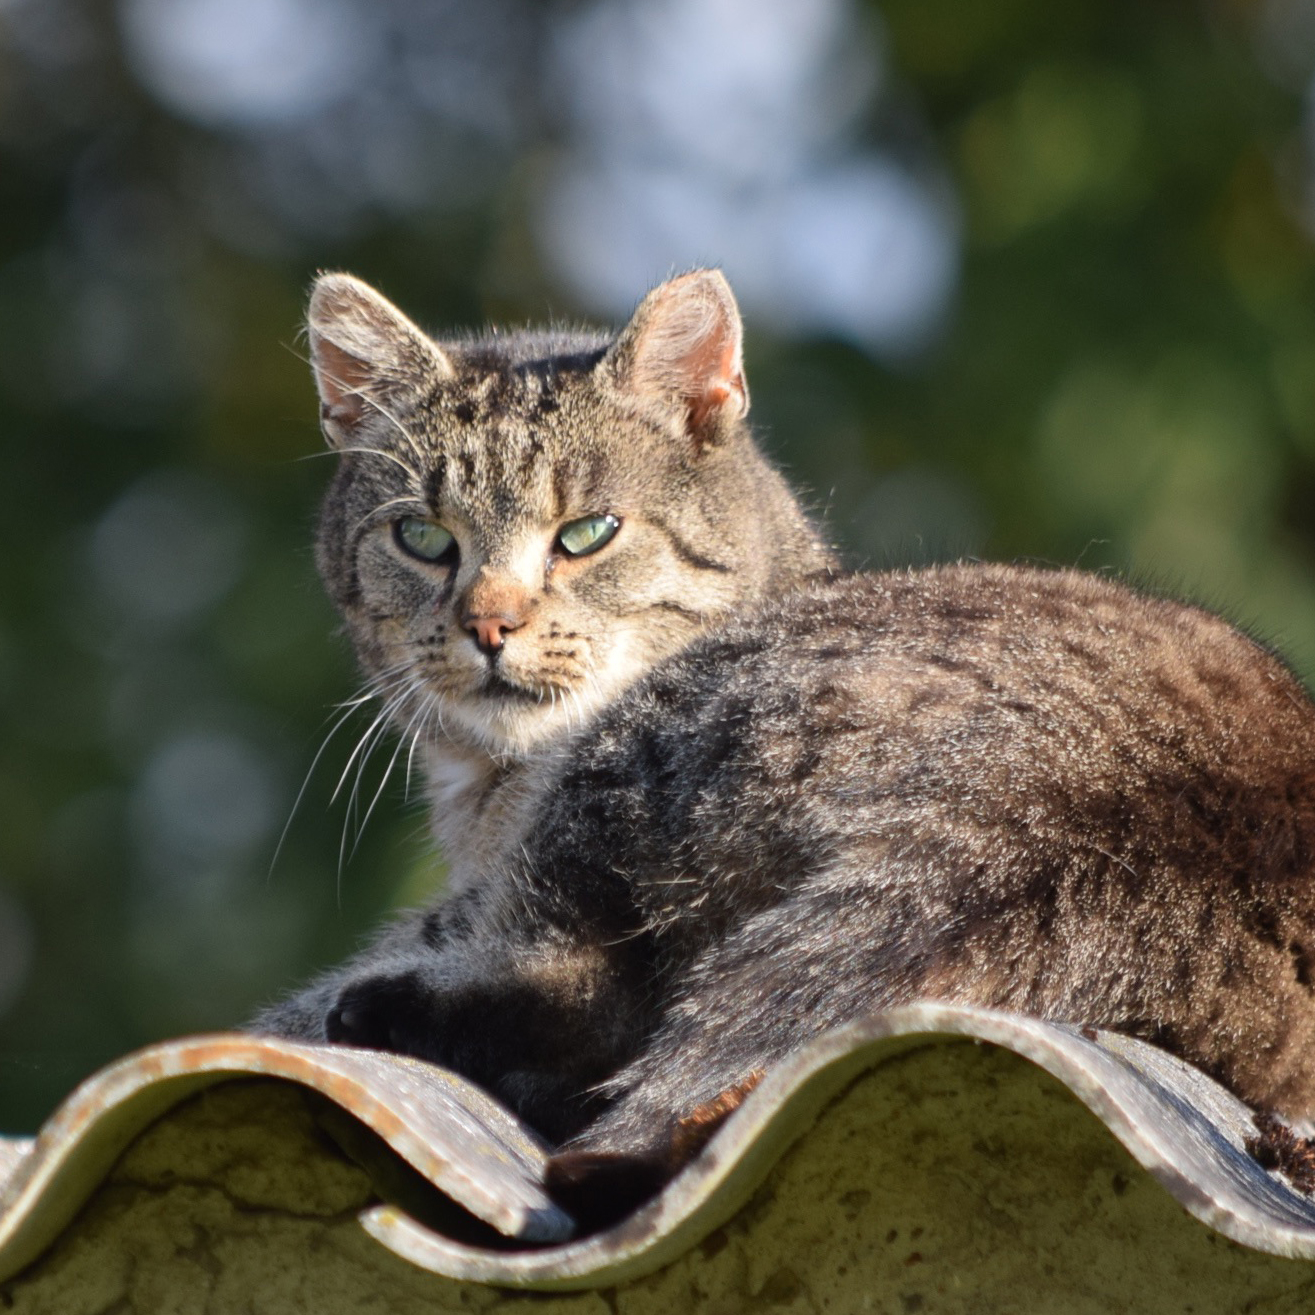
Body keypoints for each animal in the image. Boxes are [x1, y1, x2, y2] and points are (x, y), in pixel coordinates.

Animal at [256, 266, 1315, 1209]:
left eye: (588, 533)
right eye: (423, 539)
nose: (489, 624)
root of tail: (1096, 817)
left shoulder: (505, 894)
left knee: (607, 1005)